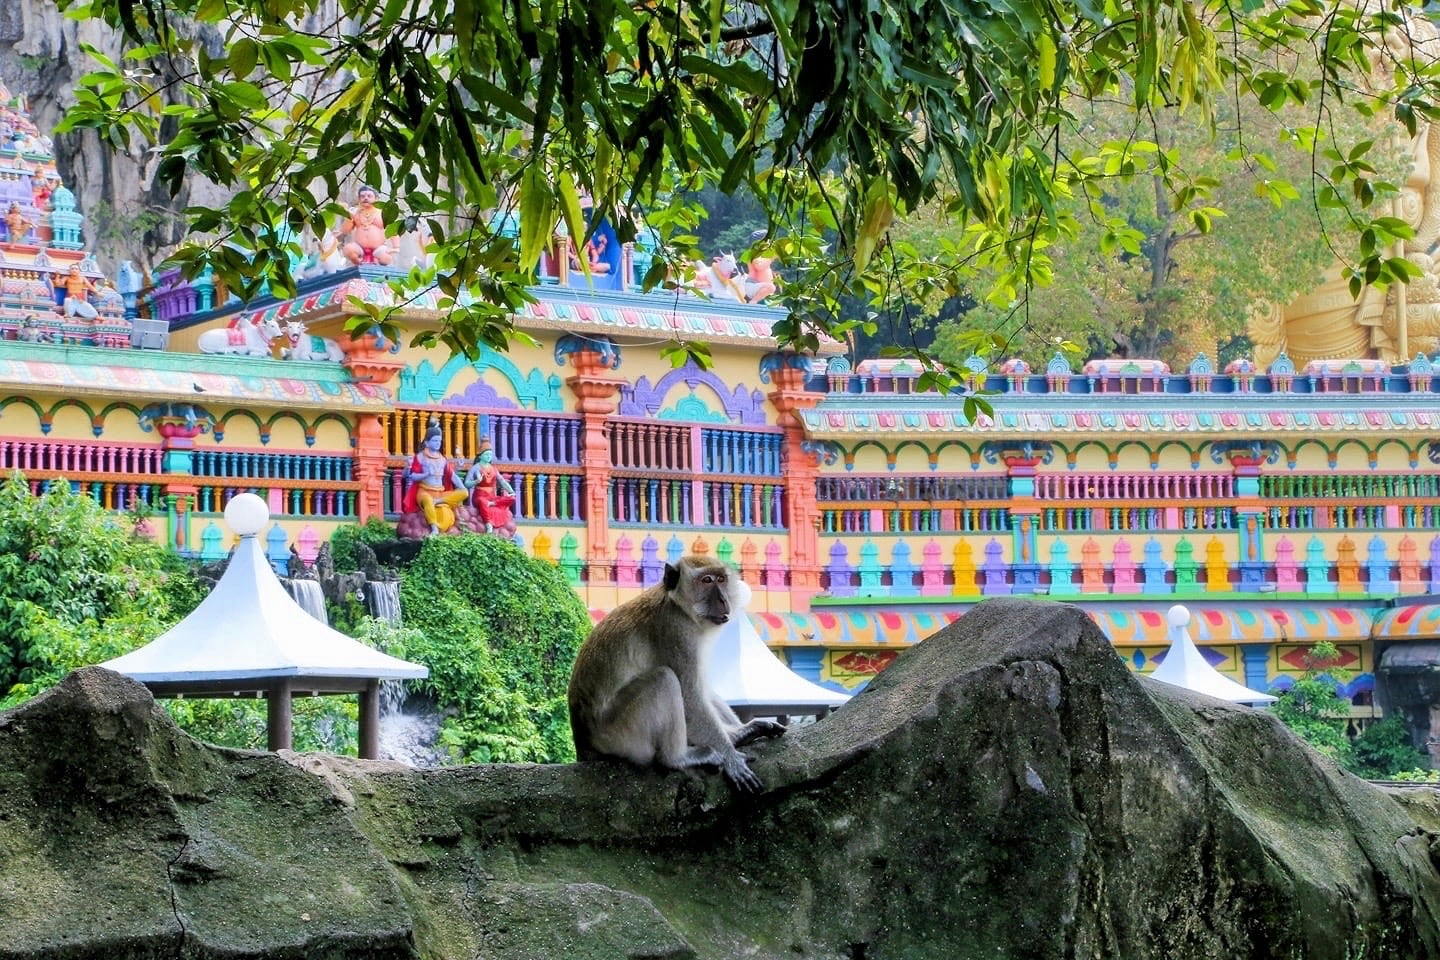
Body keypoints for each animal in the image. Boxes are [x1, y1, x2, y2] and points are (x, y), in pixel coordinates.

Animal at [567, 555, 789, 788]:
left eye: (721, 579)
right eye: (707, 580)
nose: (723, 600)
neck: (680, 607)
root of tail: (584, 744)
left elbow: (701, 689)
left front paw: (739, 733)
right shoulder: (676, 631)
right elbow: (690, 698)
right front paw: (731, 758)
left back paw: (738, 735)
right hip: (618, 734)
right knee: (664, 679)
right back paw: (678, 758)